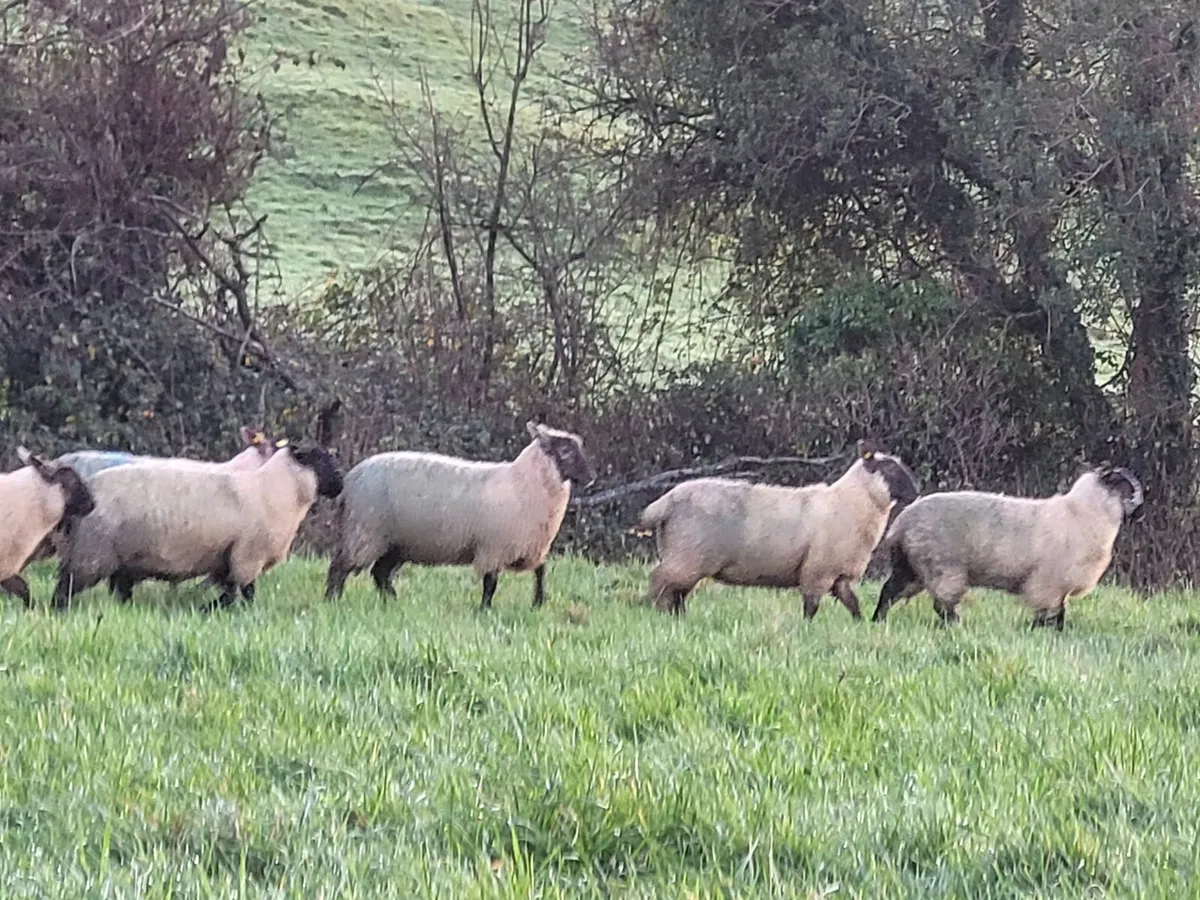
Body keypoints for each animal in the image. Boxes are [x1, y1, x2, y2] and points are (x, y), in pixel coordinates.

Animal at [50, 441, 343, 612]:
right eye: (319, 459)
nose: (340, 485)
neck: (274, 489)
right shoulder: (247, 556)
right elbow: (243, 593)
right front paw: (214, 609)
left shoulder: (229, 559)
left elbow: (230, 592)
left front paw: (210, 608)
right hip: (92, 553)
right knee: (65, 587)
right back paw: (58, 611)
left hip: (119, 557)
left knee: (119, 590)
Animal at [324, 421, 596, 609]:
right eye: (566, 451)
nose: (591, 477)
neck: (522, 483)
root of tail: (349, 481)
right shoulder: (493, 548)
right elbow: (490, 584)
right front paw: (485, 610)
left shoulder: (531, 546)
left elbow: (541, 572)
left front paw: (538, 603)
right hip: (365, 532)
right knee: (340, 566)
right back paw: (332, 600)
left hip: (396, 542)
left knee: (379, 574)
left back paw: (394, 602)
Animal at [639, 440, 919, 618]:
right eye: (889, 468)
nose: (915, 494)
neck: (853, 502)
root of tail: (665, 502)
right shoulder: (817, 571)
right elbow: (811, 608)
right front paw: (807, 629)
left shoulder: (838, 576)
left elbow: (854, 605)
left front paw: (861, 624)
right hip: (688, 556)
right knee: (660, 583)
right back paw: (659, 617)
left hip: (687, 558)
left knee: (676, 593)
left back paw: (679, 618)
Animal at [870, 465, 1144, 630]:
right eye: (1129, 486)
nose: (1141, 512)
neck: (1085, 513)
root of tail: (902, 522)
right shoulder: (1047, 584)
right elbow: (1050, 613)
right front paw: (1041, 632)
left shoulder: (1058, 588)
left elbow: (1060, 612)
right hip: (943, 567)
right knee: (941, 605)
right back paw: (957, 624)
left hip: (912, 567)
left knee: (889, 591)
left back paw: (877, 621)